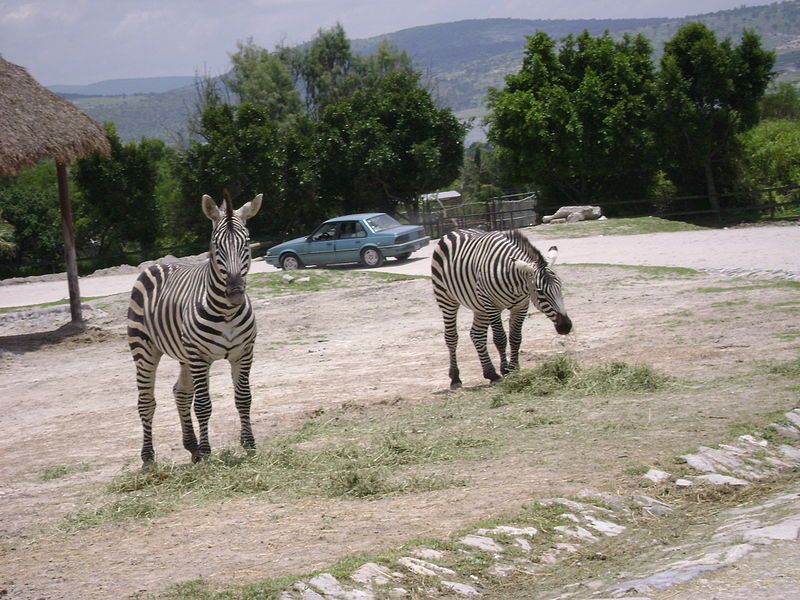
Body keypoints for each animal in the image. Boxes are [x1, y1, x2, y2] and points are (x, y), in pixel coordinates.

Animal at [126, 192, 262, 464]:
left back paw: (192, 447)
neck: (226, 312)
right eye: (216, 246)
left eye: (246, 243)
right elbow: (203, 405)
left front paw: (249, 445)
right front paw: (209, 453)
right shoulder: (199, 356)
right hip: (144, 350)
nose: (235, 293)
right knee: (146, 402)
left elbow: (243, 398)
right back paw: (148, 458)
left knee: (180, 392)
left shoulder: (244, 353)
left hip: (184, 355)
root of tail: (157, 264)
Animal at [432, 229, 568, 390]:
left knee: (477, 334)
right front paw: (505, 370)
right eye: (540, 292)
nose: (566, 326)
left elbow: (515, 337)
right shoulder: (492, 305)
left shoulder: (521, 306)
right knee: (451, 337)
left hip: (479, 306)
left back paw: (490, 373)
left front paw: (514, 369)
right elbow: (500, 339)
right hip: (446, 298)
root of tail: (453, 232)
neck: (516, 282)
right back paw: (455, 378)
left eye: (560, 287)